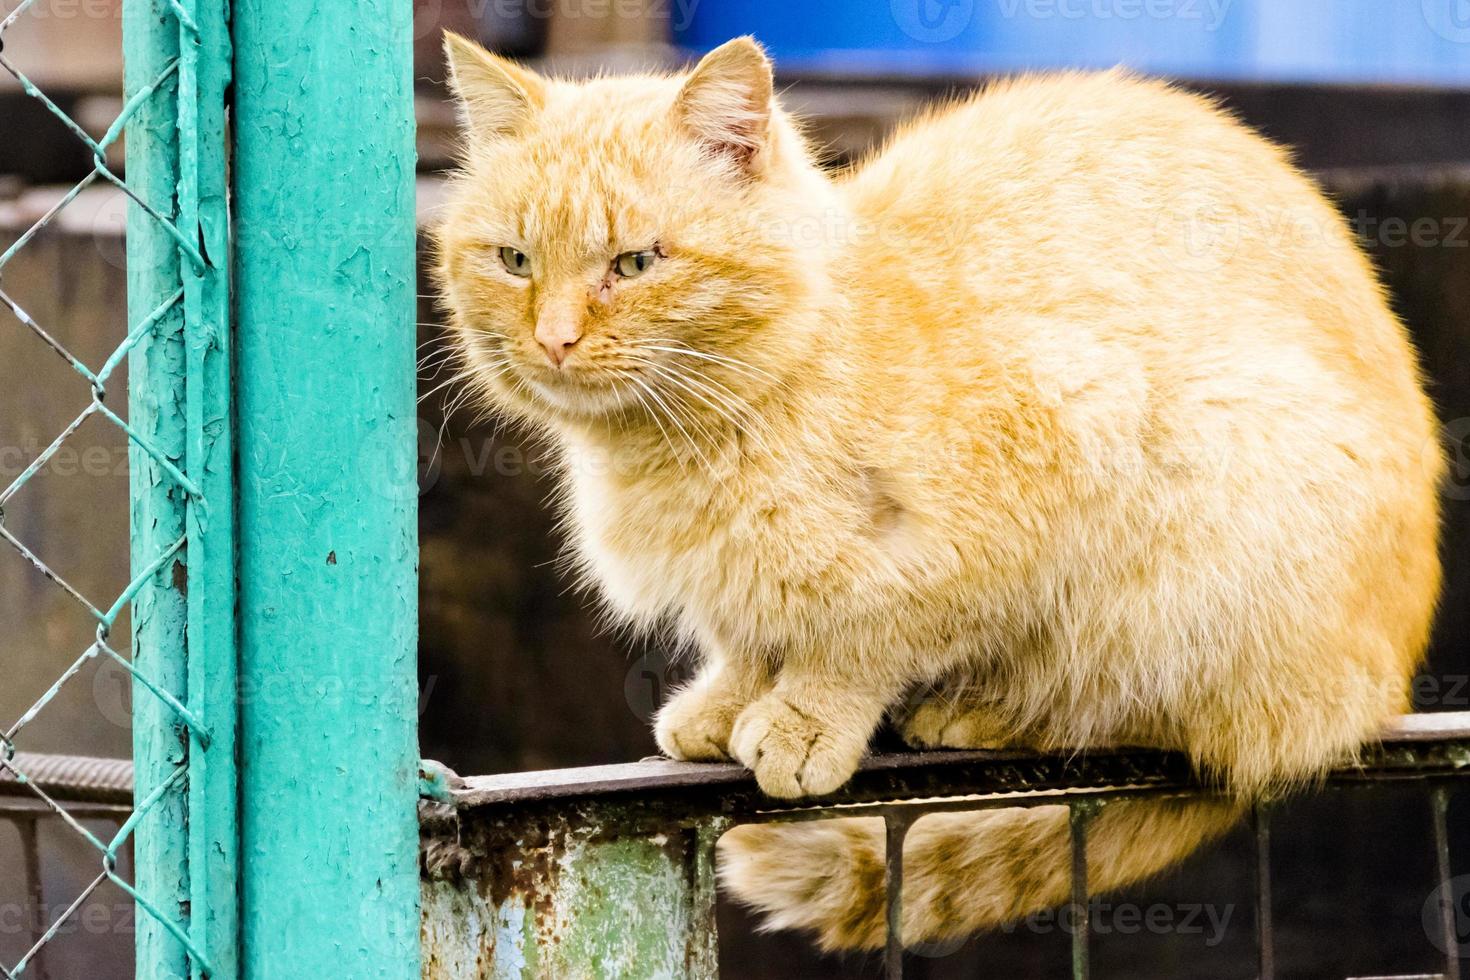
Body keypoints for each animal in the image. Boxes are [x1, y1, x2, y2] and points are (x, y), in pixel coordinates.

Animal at [429, 36, 1440, 952]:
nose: (554, 339)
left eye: (636, 263)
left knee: (1162, 716)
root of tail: (1384, 689)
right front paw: (726, 702)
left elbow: (868, 633)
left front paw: (807, 718)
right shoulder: (738, 588)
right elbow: (748, 633)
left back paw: (989, 709)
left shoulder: (1027, 478)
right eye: (514, 260)